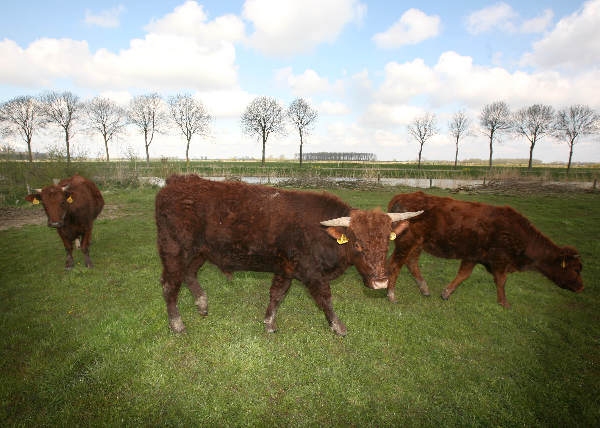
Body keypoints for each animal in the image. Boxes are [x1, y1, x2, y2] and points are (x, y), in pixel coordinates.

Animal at [152, 176, 420, 336]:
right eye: (357, 243)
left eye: (387, 241)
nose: (381, 282)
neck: (322, 234)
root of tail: (176, 182)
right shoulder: (312, 273)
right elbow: (325, 299)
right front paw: (338, 326)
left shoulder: (286, 268)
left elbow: (277, 295)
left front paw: (269, 323)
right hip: (174, 250)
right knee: (169, 285)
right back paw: (177, 323)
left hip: (199, 251)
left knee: (189, 274)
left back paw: (202, 304)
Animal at [386, 191, 584, 308]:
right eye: (575, 269)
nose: (581, 287)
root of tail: (402, 196)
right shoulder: (500, 260)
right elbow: (501, 281)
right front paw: (504, 303)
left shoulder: (473, 256)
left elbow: (464, 275)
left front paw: (446, 292)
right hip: (406, 242)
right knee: (395, 264)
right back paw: (391, 294)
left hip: (417, 244)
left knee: (411, 263)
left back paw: (424, 288)